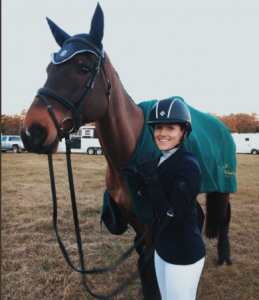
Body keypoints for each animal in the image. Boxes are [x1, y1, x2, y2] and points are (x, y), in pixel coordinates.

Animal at [20, 3, 236, 298]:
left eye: (84, 68)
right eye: (48, 69)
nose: (32, 132)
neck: (129, 153)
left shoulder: (153, 220)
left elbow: (150, 264)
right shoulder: (135, 218)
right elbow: (144, 263)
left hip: (224, 186)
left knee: (224, 216)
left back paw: (225, 257)